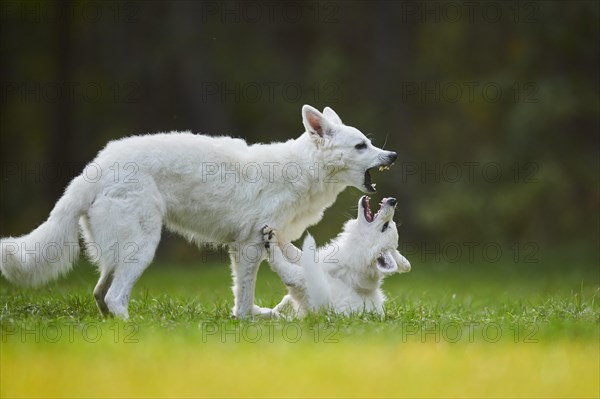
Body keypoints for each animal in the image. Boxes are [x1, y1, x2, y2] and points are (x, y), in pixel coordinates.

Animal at [262, 195, 412, 318]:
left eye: (385, 226)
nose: (393, 201)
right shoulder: (317, 261)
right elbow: (293, 250)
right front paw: (278, 234)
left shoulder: (310, 277)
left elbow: (287, 268)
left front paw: (272, 243)